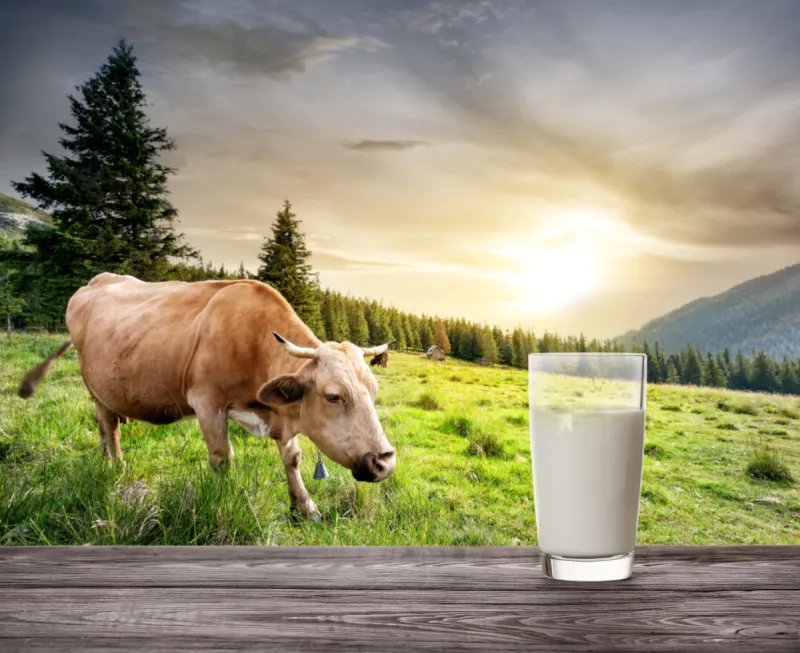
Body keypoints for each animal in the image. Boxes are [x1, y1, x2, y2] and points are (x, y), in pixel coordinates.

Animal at [16, 272, 396, 516]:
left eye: (375, 390)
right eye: (333, 396)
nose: (384, 463)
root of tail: (93, 282)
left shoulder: (282, 413)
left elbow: (292, 458)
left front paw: (305, 508)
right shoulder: (207, 402)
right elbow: (222, 458)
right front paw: (224, 502)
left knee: (102, 424)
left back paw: (104, 458)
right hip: (95, 385)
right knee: (109, 425)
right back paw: (115, 465)